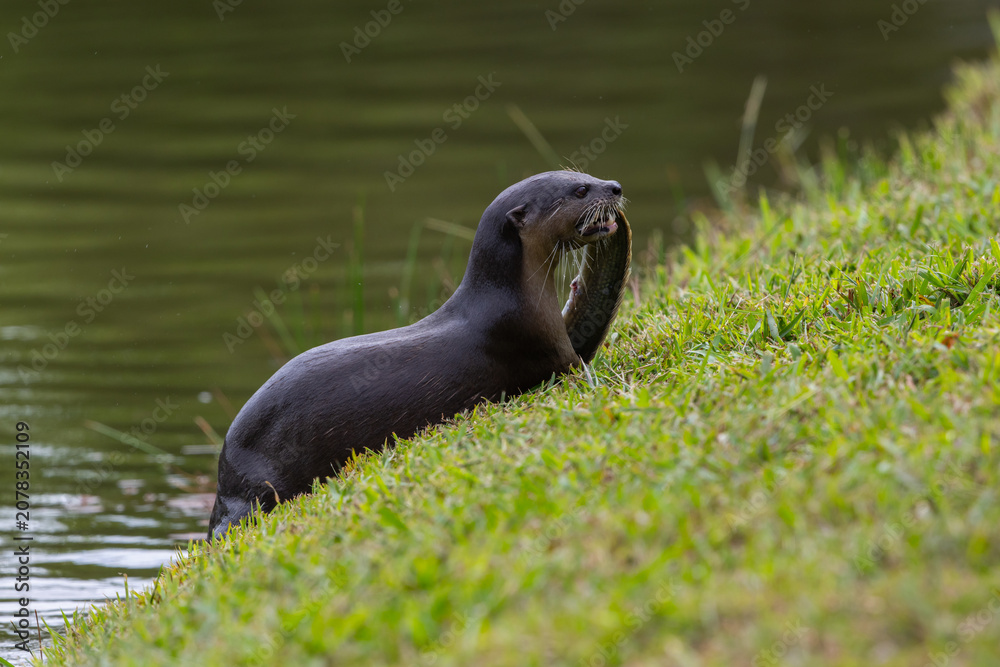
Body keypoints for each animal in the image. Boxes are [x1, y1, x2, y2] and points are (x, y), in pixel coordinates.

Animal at [208, 171, 630, 538]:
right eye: (580, 190)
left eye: (585, 175)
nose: (615, 186)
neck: (510, 298)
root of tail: (226, 480)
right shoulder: (545, 348)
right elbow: (577, 366)